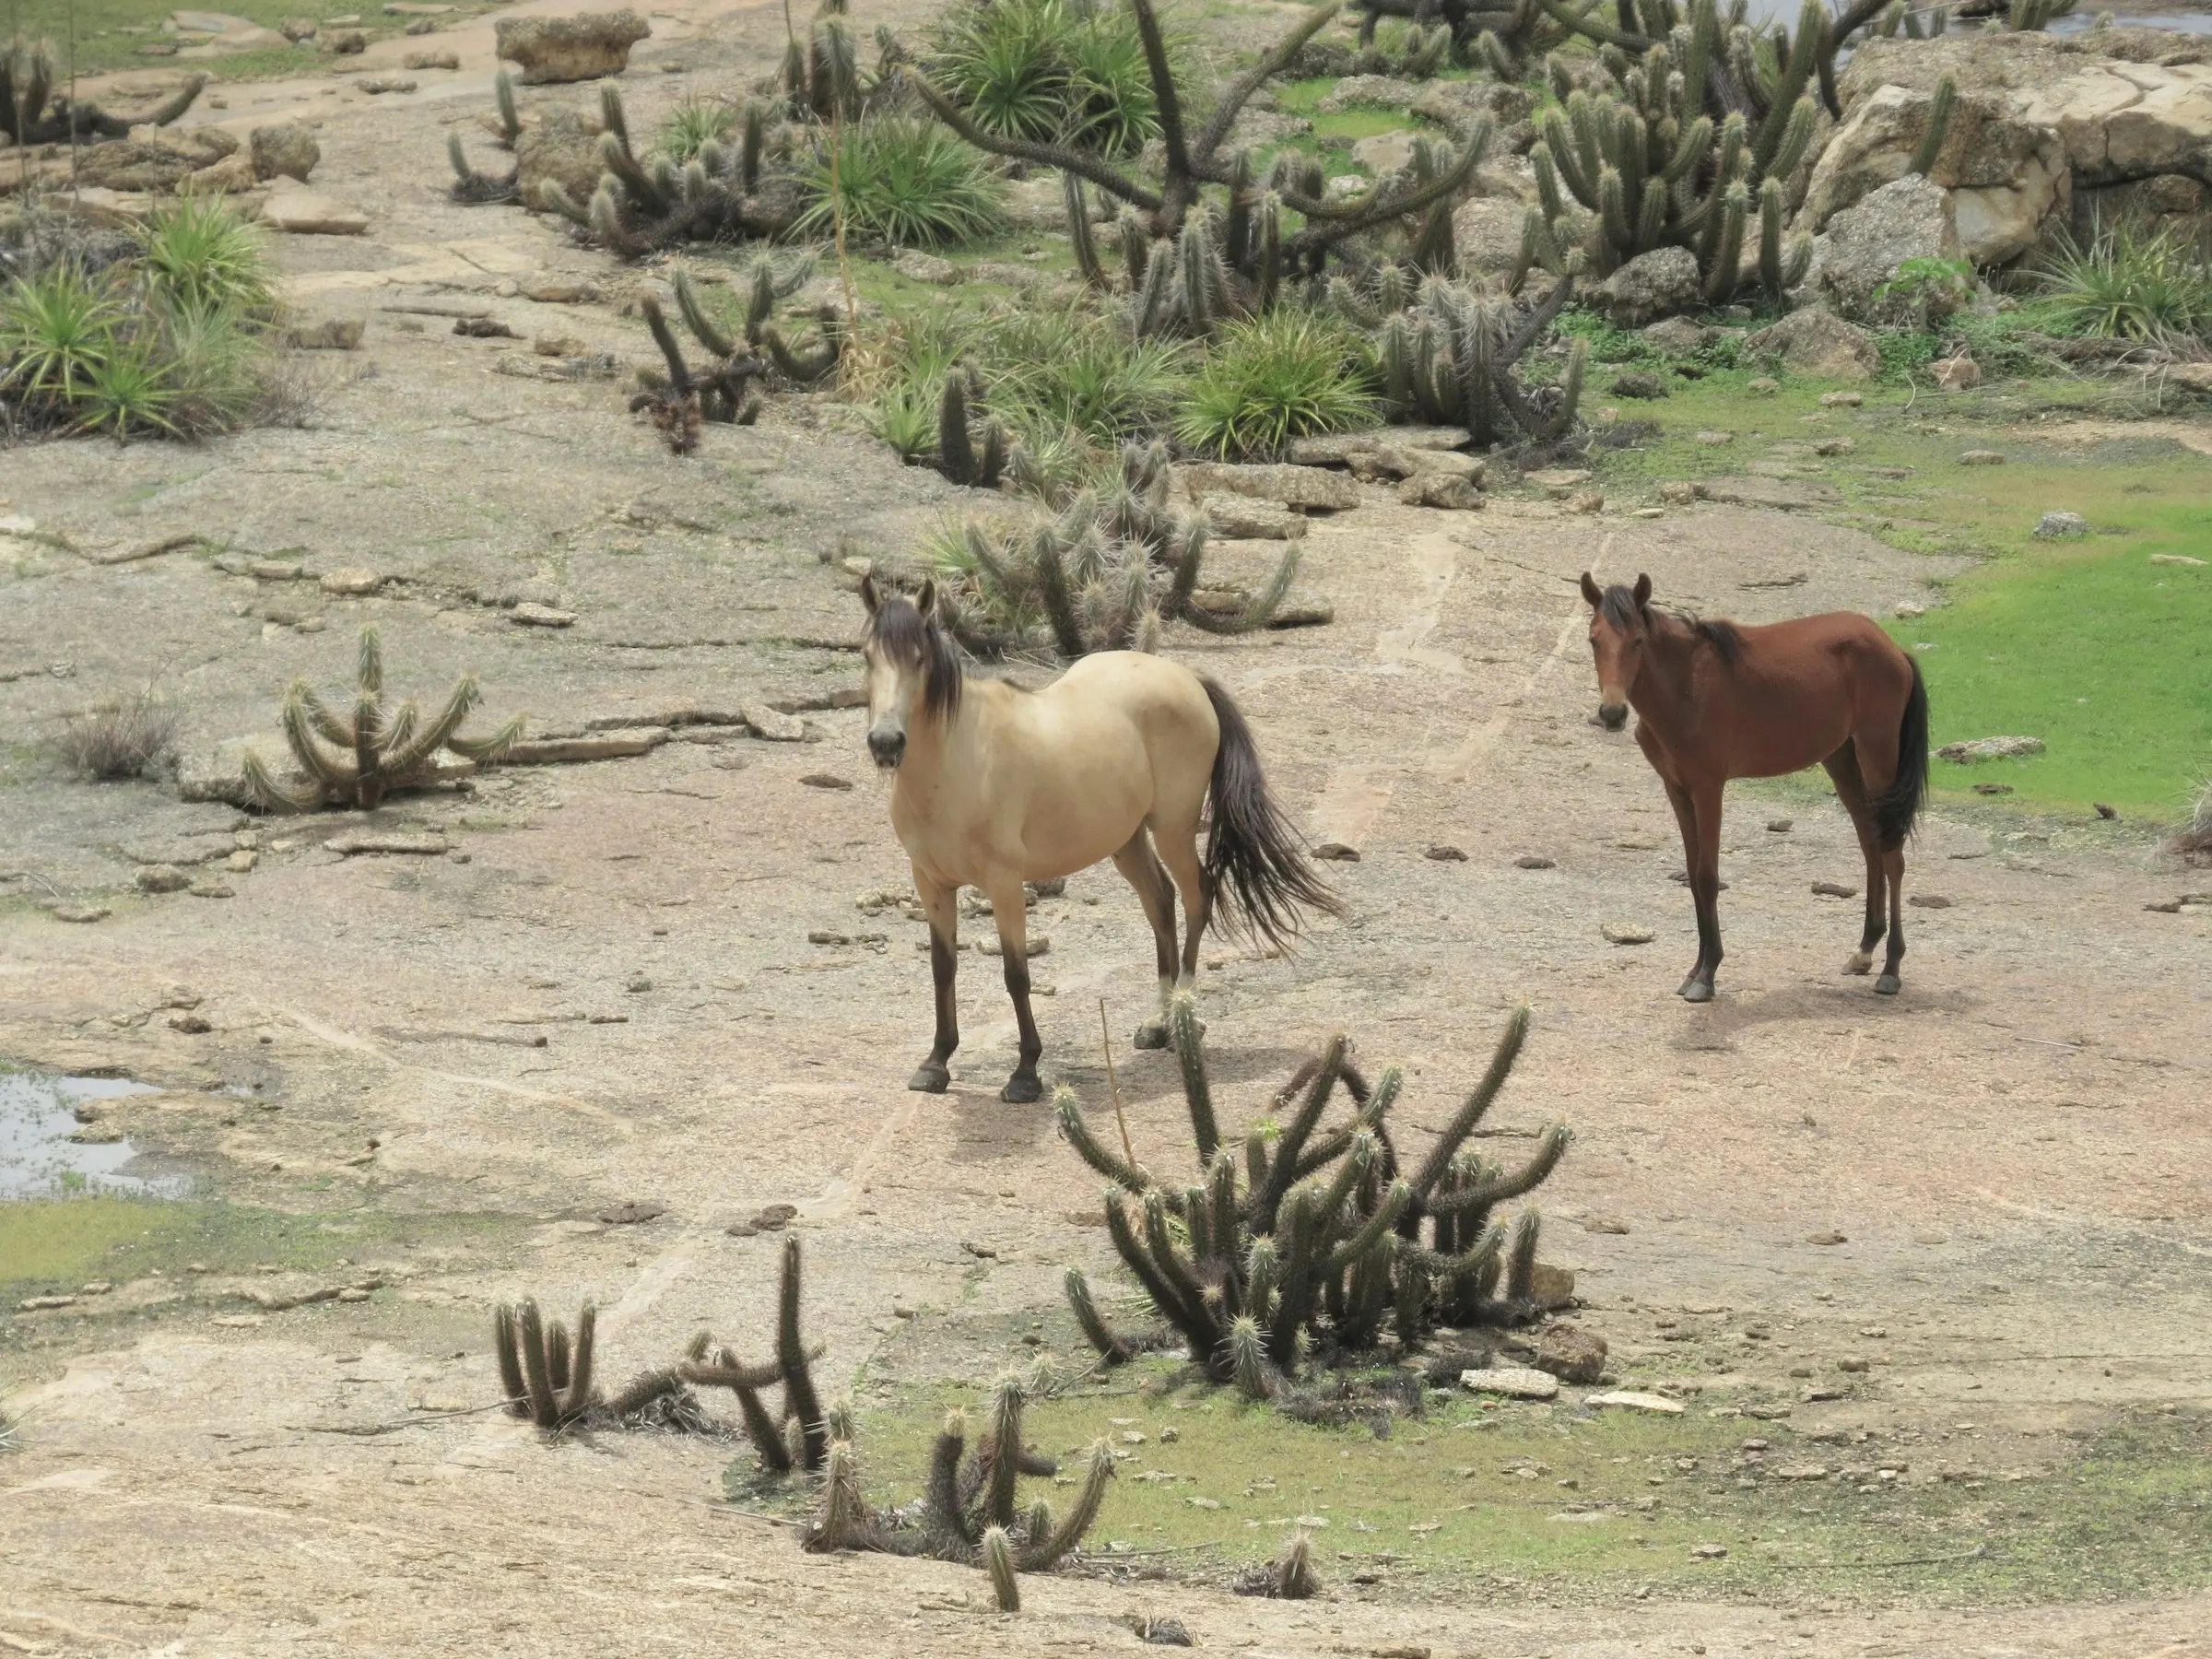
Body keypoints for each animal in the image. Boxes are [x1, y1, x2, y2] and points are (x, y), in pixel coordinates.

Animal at [849, 579, 1335, 1110]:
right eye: (867, 655)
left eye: (918, 659)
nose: (886, 743)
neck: (958, 761)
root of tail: (1185, 677)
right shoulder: (931, 883)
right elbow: (943, 968)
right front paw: (936, 1063)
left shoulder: (1004, 883)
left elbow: (1016, 974)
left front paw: (1025, 1074)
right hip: (1127, 841)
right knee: (1161, 903)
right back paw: (1156, 1023)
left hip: (1172, 831)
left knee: (1196, 897)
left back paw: (1180, 1017)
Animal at [1583, 579, 1928, 1008]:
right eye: (1594, 640)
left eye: (1637, 640)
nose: (1612, 713)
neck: (1685, 688)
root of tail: (1893, 649)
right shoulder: (1677, 790)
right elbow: (1693, 877)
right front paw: (1694, 970)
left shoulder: (1708, 788)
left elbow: (1707, 876)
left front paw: (1707, 975)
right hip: (1843, 761)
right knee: (1871, 846)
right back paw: (1865, 950)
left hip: (1877, 758)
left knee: (1892, 855)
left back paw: (1891, 968)